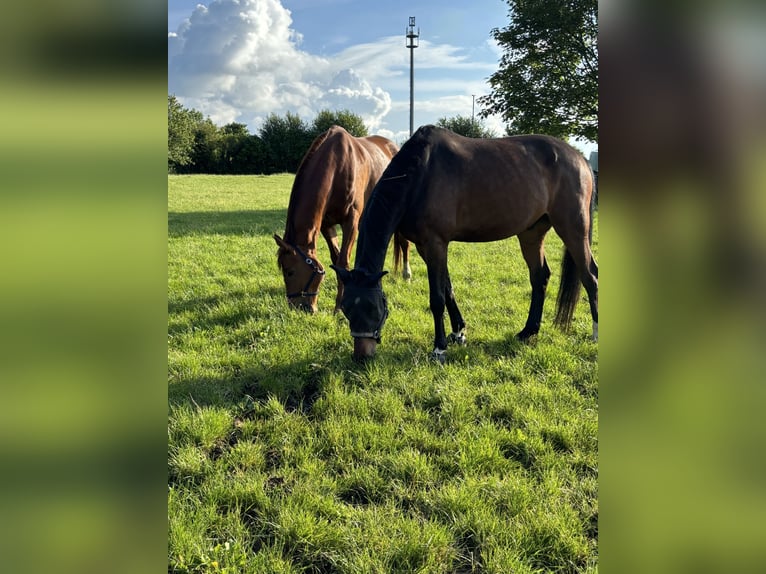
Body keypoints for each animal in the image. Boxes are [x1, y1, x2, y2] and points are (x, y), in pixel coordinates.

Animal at [272, 126, 412, 316]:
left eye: (290, 272)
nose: (298, 308)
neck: (338, 165)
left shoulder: (351, 222)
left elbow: (343, 262)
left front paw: (339, 307)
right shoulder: (327, 225)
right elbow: (336, 259)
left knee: (404, 243)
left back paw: (407, 275)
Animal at [332, 126, 600, 364]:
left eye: (372, 308)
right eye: (345, 308)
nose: (361, 357)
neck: (421, 173)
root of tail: (580, 159)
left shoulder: (435, 243)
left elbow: (437, 298)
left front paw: (439, 348)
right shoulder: (426, 247)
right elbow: (448, 289)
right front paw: (458, 332)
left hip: (573, 229)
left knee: (590, 276)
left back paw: (595, 334)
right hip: (531, 233)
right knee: (540, 277)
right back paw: (528, 331)